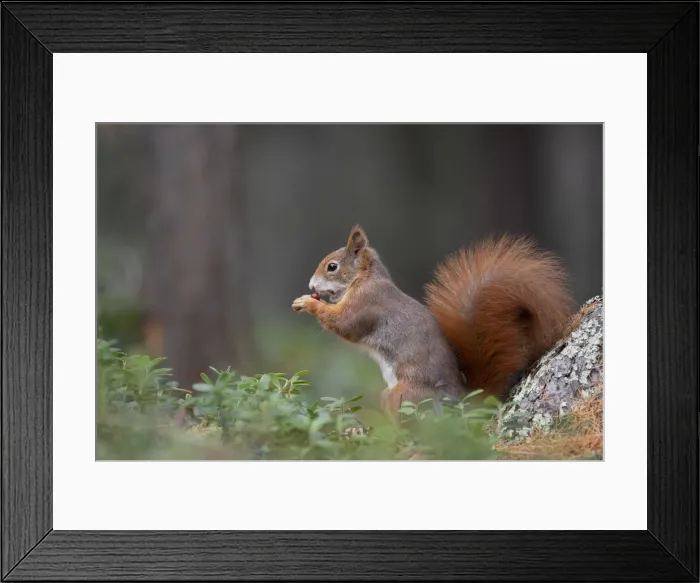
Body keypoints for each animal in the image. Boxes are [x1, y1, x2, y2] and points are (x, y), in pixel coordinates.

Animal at [292, 225, 575, 414]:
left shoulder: (367, 303)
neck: (365, 278)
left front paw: (307, 303)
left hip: (404, 396)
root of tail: (460, 400)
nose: (311, 285)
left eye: (332, 267)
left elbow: (345, 324)